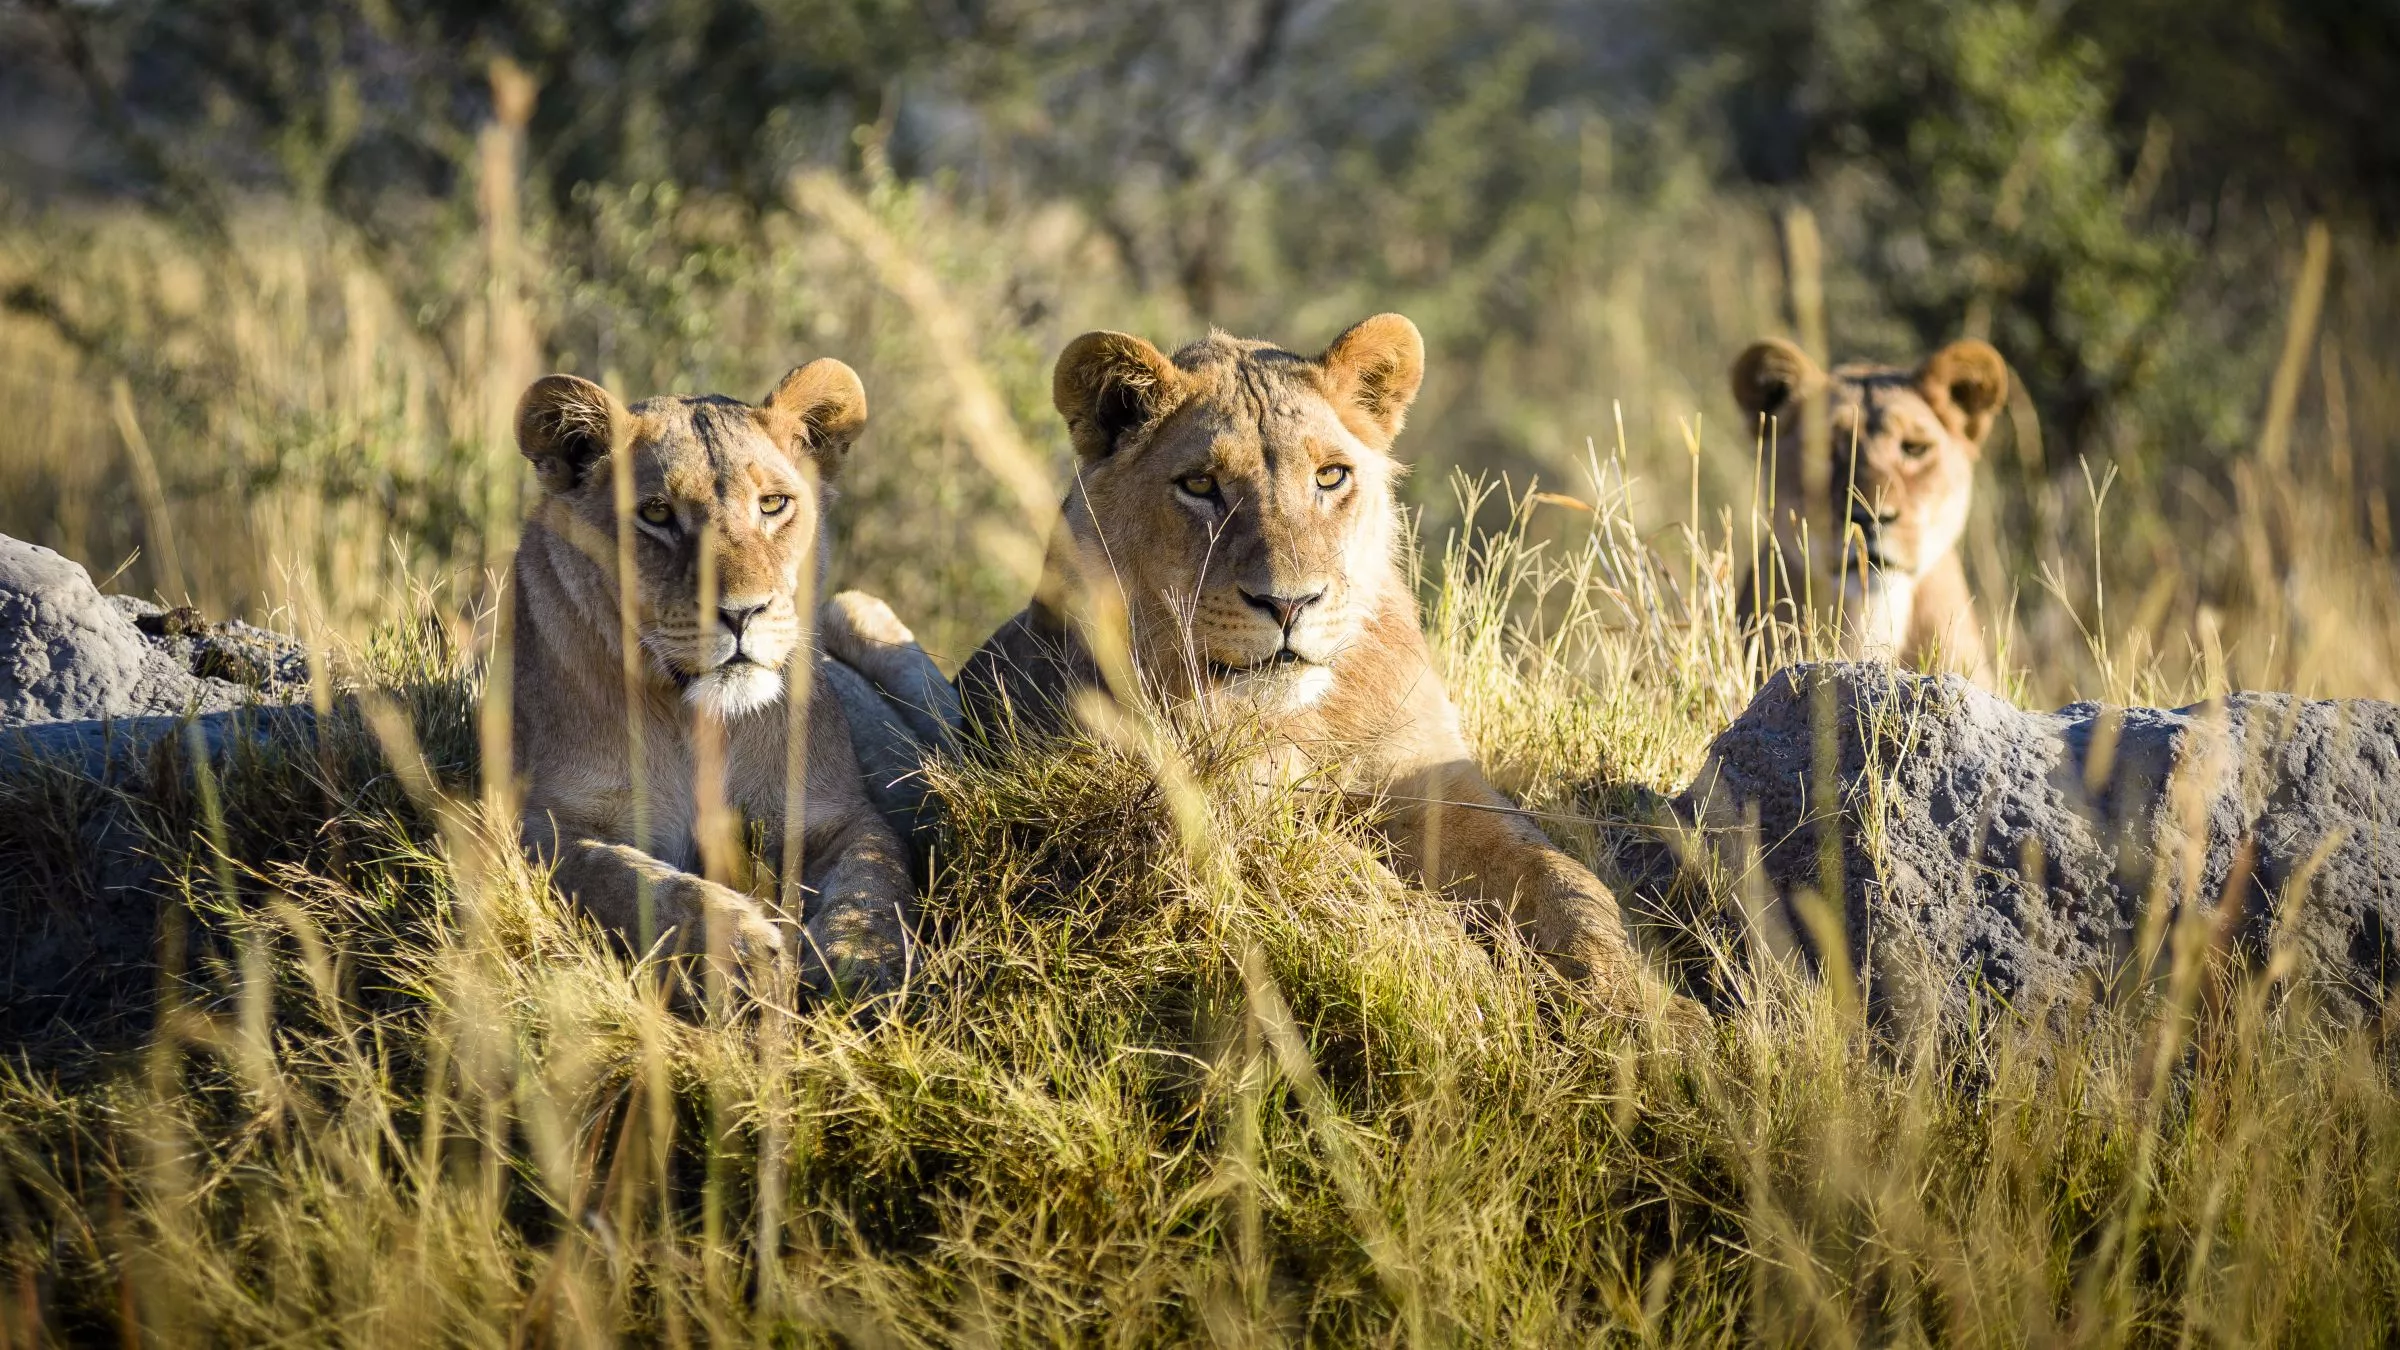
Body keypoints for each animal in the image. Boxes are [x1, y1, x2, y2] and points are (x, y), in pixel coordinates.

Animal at [511, 361, 914, 993]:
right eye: (656, 514)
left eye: (773, 504)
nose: (742, 613)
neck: (696, 718)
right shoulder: (538, 826)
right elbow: (632, 880)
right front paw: (744, 951)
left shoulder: (841, 815)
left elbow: (874, 880)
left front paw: (860, 963)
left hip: (854, 606)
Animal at [956, 315, 1682, 1014]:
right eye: (1199, 485)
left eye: (1331, 476)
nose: (1289, 603)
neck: (1308, 719)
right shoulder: (1215, 804)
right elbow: (1365, 882)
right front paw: (1477, 987)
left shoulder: (1433, 781)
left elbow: (1564, 879)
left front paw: (1650, 1013)